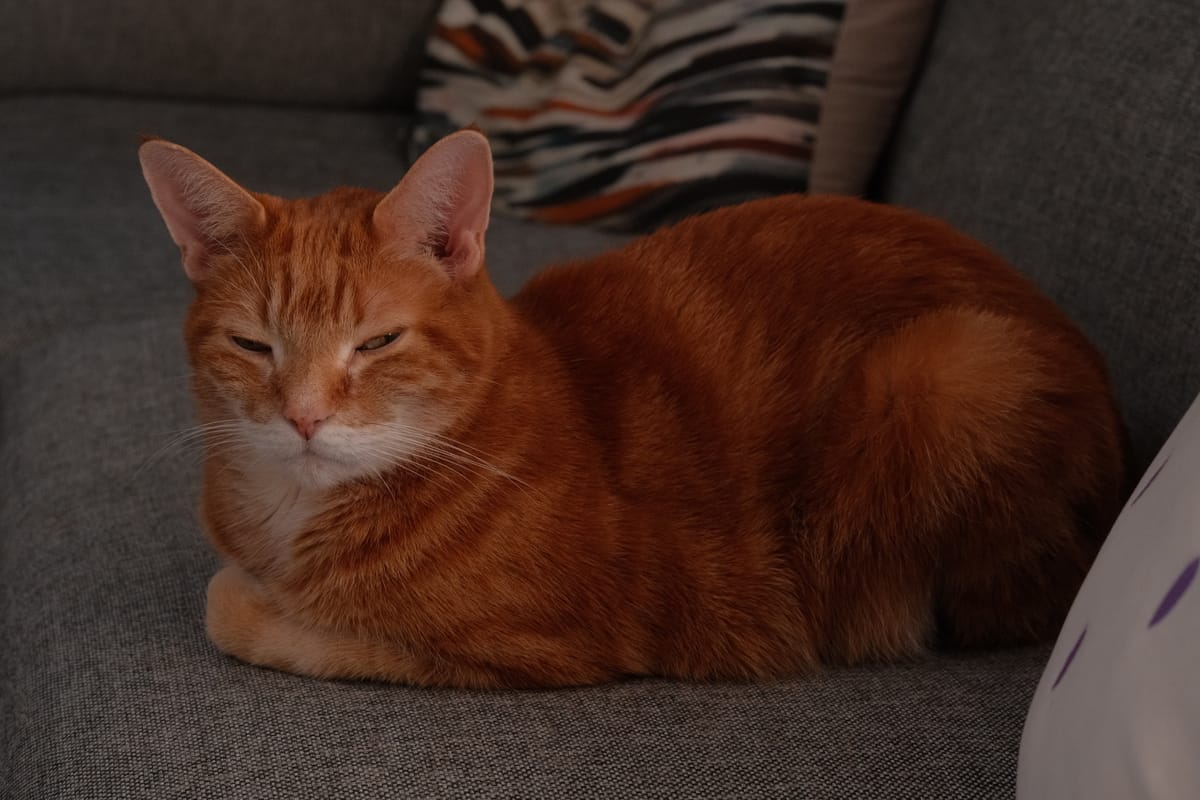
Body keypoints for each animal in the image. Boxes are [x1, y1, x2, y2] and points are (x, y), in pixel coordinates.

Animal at [138, 130, 1123, 690]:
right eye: (254, 346)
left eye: (376, 343)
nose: (304, 417)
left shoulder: (530, 647)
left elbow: (241, 611)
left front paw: (254, 595)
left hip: (950, 371)